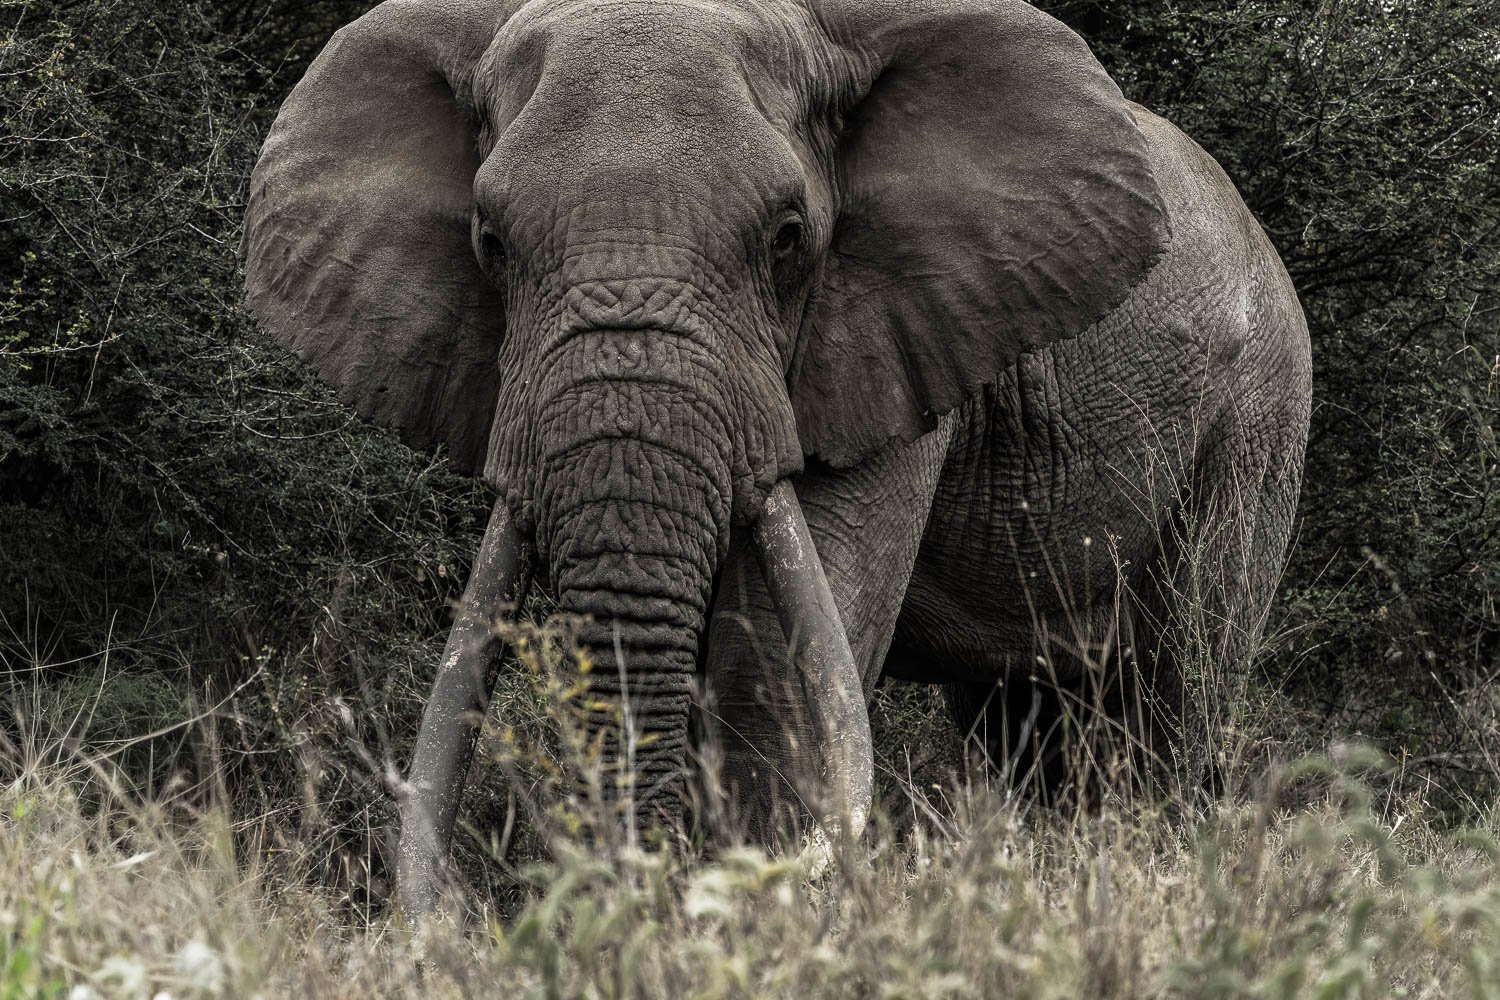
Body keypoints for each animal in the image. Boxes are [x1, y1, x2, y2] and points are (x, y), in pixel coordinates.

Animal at [242, 0, 1311, 914]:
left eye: (788, 240)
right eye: (491, 243)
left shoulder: (891, 331)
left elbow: (774, 655)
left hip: (1259, 419)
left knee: (1179, 692)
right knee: (1020, 726)